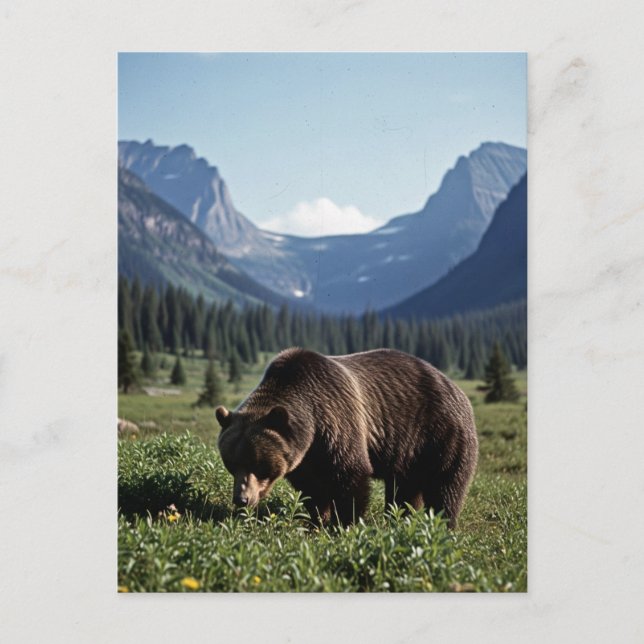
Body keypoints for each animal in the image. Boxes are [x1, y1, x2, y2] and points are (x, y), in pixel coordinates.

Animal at [216, 347, 478, 528]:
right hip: (410, 453)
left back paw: (442, 525)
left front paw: (344, 524)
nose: (241, 499)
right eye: (231, 463)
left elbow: (351, 476)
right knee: (404, 488)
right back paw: (401, 518)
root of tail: (455, 387)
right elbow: (312, 489)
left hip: (441, 435)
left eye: (258, 464)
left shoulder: (337, 422)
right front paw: (316, 520)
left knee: (446, 487)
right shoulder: (304, 458)